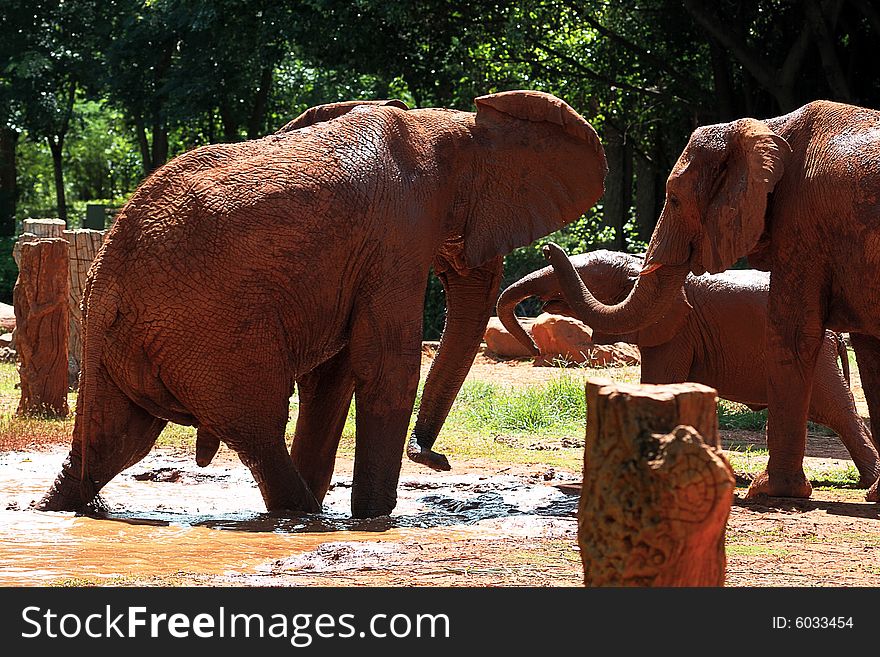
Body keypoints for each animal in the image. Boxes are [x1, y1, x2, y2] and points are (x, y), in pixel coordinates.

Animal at [37, 89, 608, 516]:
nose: (436, 458)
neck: (443, 124)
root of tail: (104, 272)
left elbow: (335, 375)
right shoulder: (397, 235)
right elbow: (385, 365)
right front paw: (375, 518)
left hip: (124, 336)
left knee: (117, 439)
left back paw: (57, 508)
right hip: (208, 333)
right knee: (256, 427)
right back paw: (305, 515)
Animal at [496, 250, 880, 486]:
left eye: (582, 277)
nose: (534, 348)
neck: (641, 267)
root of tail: (836, 334)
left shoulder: (676, 329)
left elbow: (658, 383)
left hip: (819, 361)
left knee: (838, 413)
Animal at [540, 100, 880, 500]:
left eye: (674, 199)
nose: (548, 247)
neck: (766, 127)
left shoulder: (803, 225)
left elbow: (791, 335)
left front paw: (768, 492)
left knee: (838, 411)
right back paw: (872, 490)